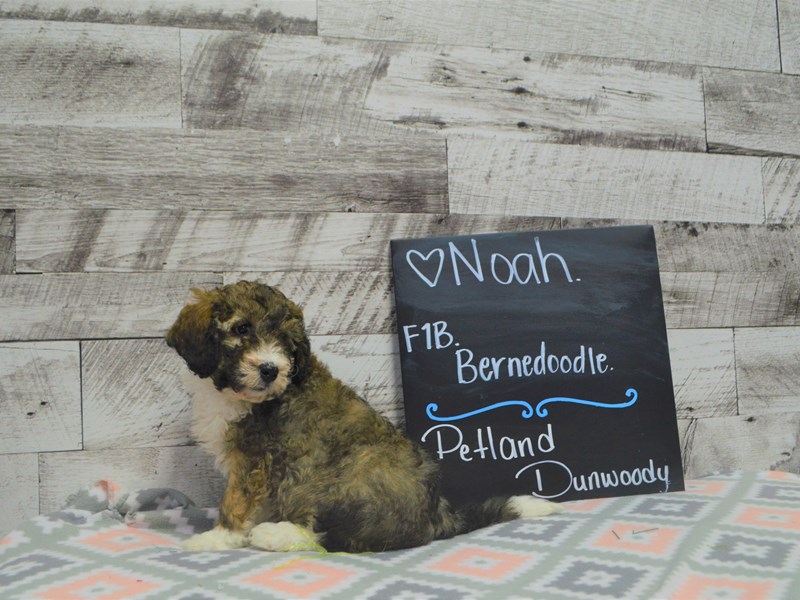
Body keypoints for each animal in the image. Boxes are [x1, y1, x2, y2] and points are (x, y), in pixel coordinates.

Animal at [166, 282, 560, 552]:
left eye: (286, 343)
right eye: (241, 329)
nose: (269, 369)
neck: (235, 394)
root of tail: (436, 517)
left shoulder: (254, 460)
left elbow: (235, 501)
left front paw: (218, 537)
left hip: (341, 475)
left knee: (333, 537)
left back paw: (275, 533)